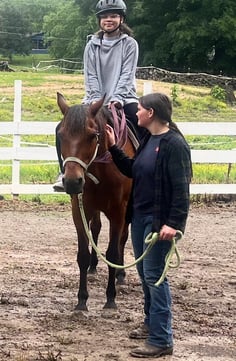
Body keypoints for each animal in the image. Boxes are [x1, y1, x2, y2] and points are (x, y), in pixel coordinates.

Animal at [56, 92, 136, 310]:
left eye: (92, 135)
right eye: (61, 135)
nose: (72, 181)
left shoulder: (118, 212)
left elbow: (112, 252)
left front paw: (110, 299)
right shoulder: (79, 209)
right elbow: (82, 254)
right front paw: (82, 300)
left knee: (122, 238)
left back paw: (120, 274)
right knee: (97, 228)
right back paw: (93, 268)